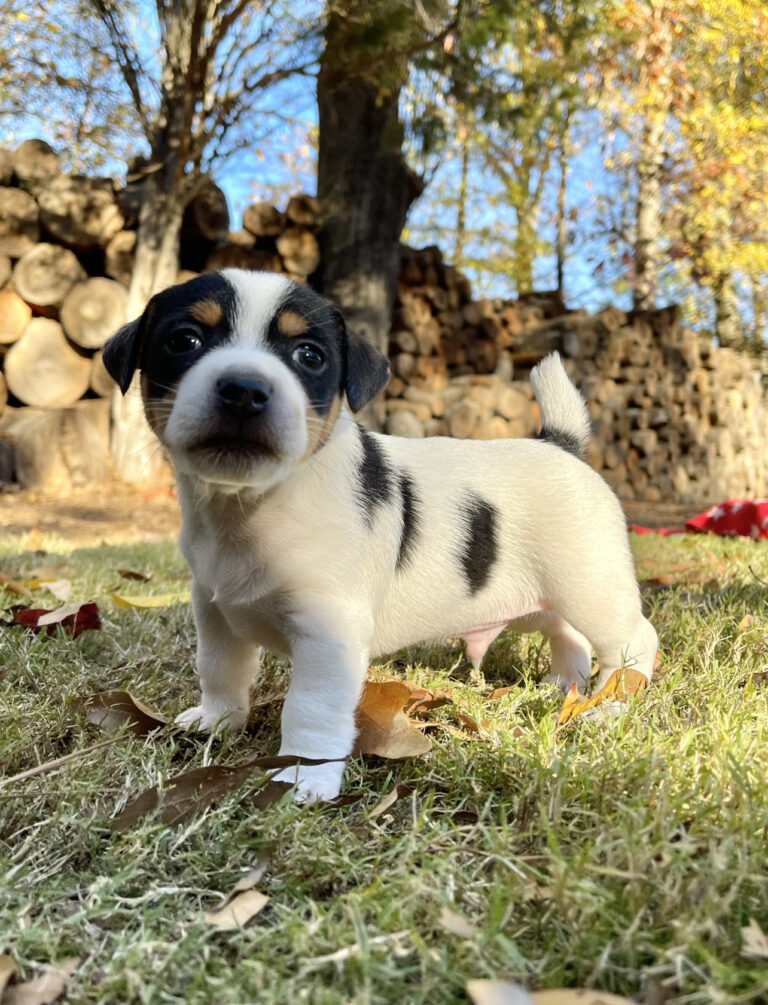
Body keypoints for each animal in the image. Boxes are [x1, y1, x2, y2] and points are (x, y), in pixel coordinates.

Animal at [103, 267, 659, 799]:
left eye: (309, 355)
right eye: (185, 341)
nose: (244, 389)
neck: (253, 506)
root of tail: (560, 444)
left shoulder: (328, 637)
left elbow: (310, 708)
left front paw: (304, 777)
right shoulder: (215, 612)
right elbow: (220, 669)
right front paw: (217, 722)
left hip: (591, 589)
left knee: (632, 643)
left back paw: (609, 705)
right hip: (542, 603)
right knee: (569, 637)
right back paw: (562, 687)